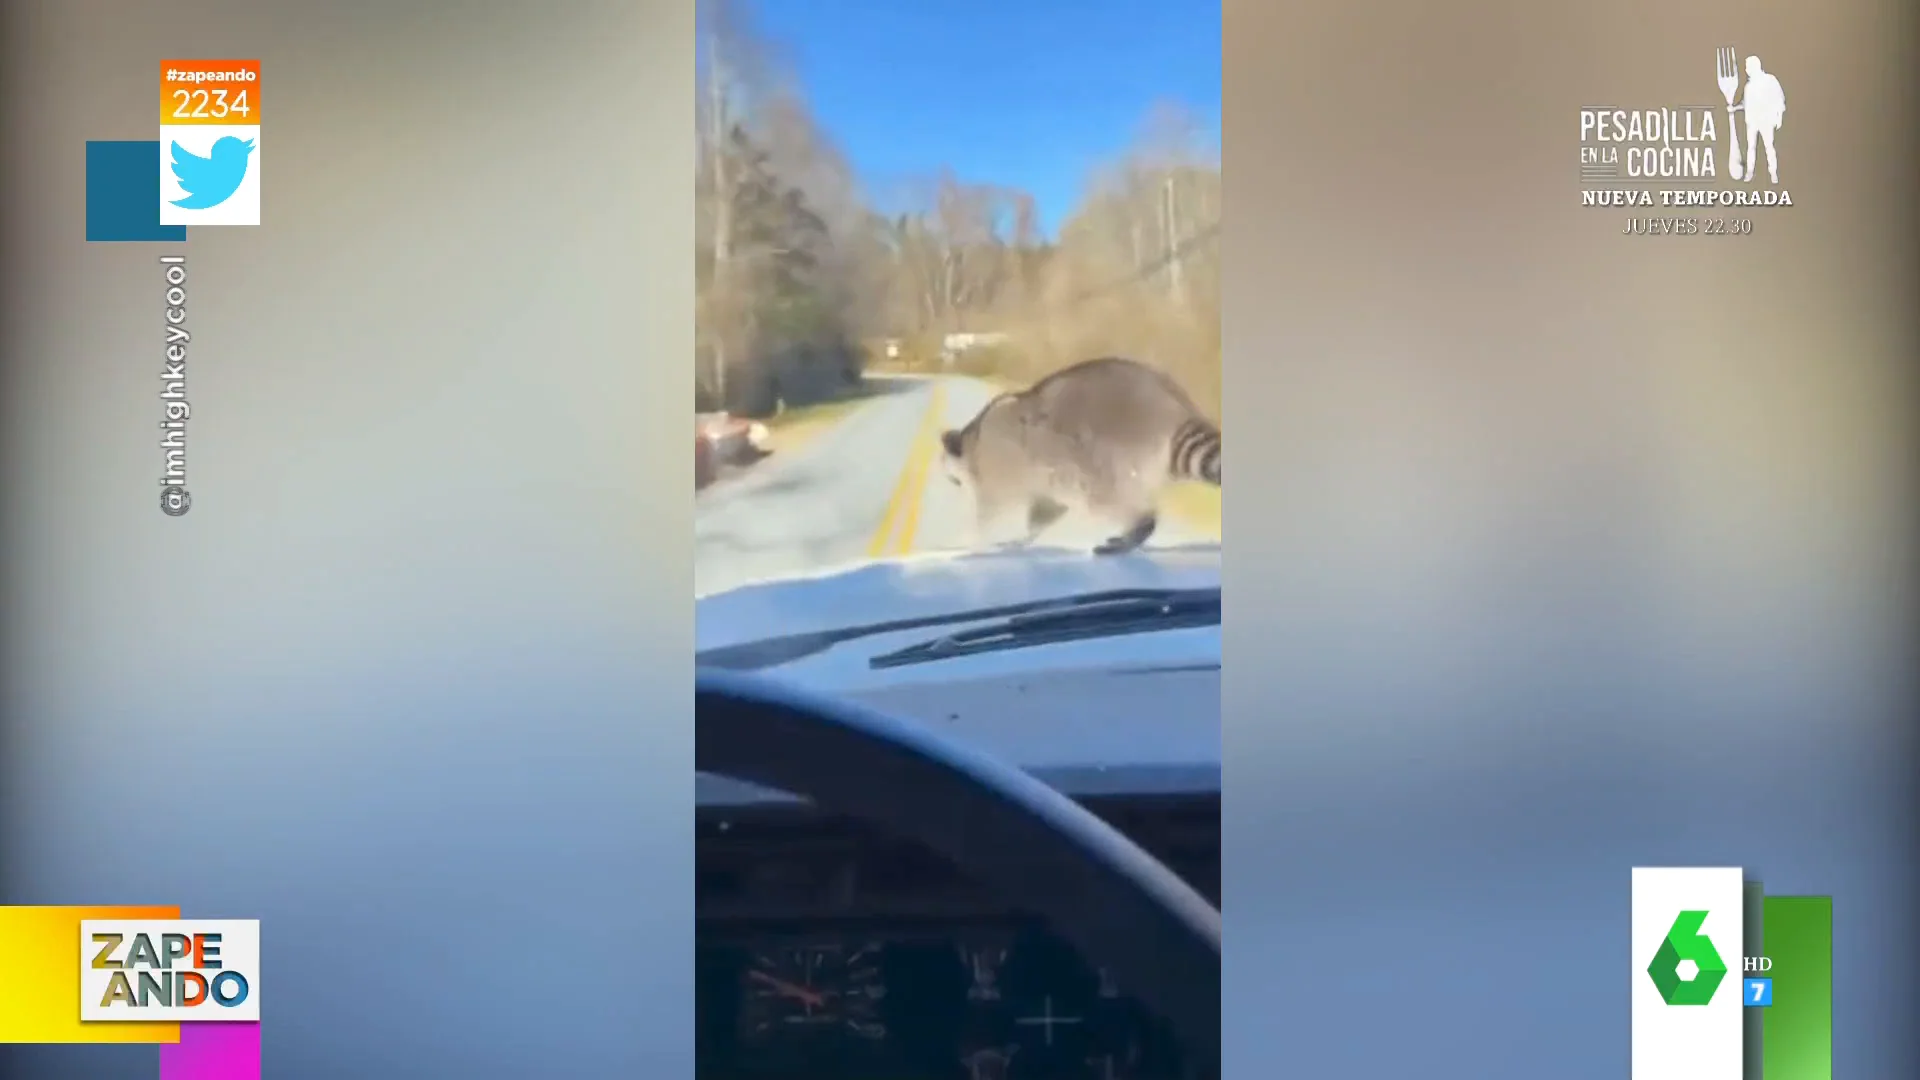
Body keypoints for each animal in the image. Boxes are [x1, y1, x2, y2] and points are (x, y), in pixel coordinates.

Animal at [936, 355, 1221, 553]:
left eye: (950, 477)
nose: (951, 485)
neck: (972, 441)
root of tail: (1174, 405)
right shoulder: (1039, 483)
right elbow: (1043, 511)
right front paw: (1023, 537)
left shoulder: (999, 469)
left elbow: (992, 514)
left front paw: (971, 540)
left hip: (1102, 454)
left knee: (1104, 496)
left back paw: (1138, 526)